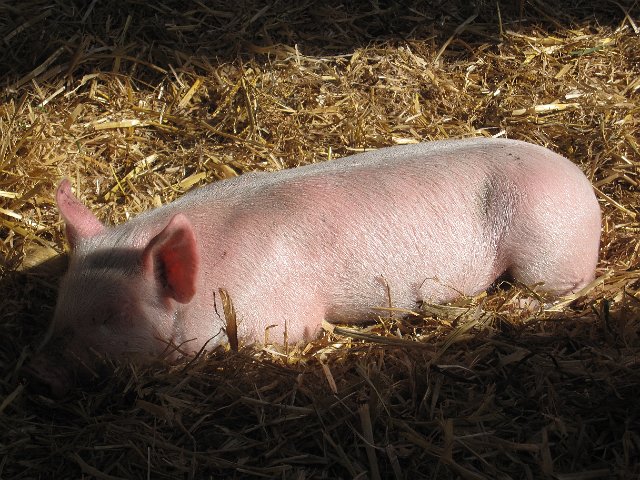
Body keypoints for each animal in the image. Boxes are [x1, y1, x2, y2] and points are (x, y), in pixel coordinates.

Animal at [25, 138, 601, 396]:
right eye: (59, 304)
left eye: (113, 316)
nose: (38, 370)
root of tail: (585, 187)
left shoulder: (284, 321)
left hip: (546, 245)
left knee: (564, 287)